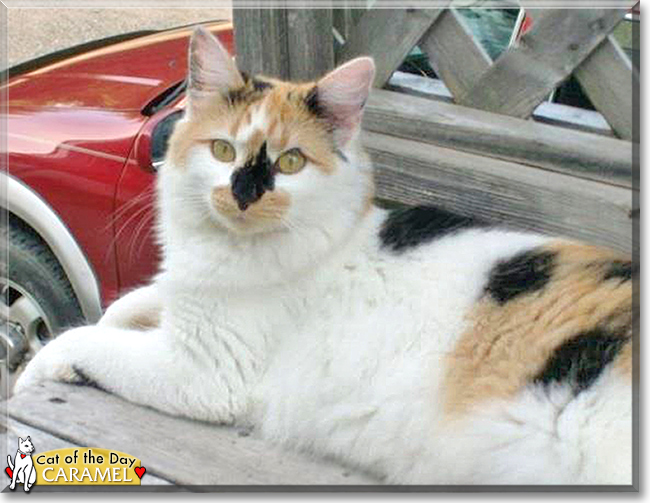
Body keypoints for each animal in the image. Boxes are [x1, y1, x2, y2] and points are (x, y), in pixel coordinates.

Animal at [16, 26, 632, 484]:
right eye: (222, 150)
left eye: (290, 162)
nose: (244, 192)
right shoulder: (187, 299)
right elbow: (130, 304)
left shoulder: (204, 371)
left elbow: (86, 339)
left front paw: (32, 373)